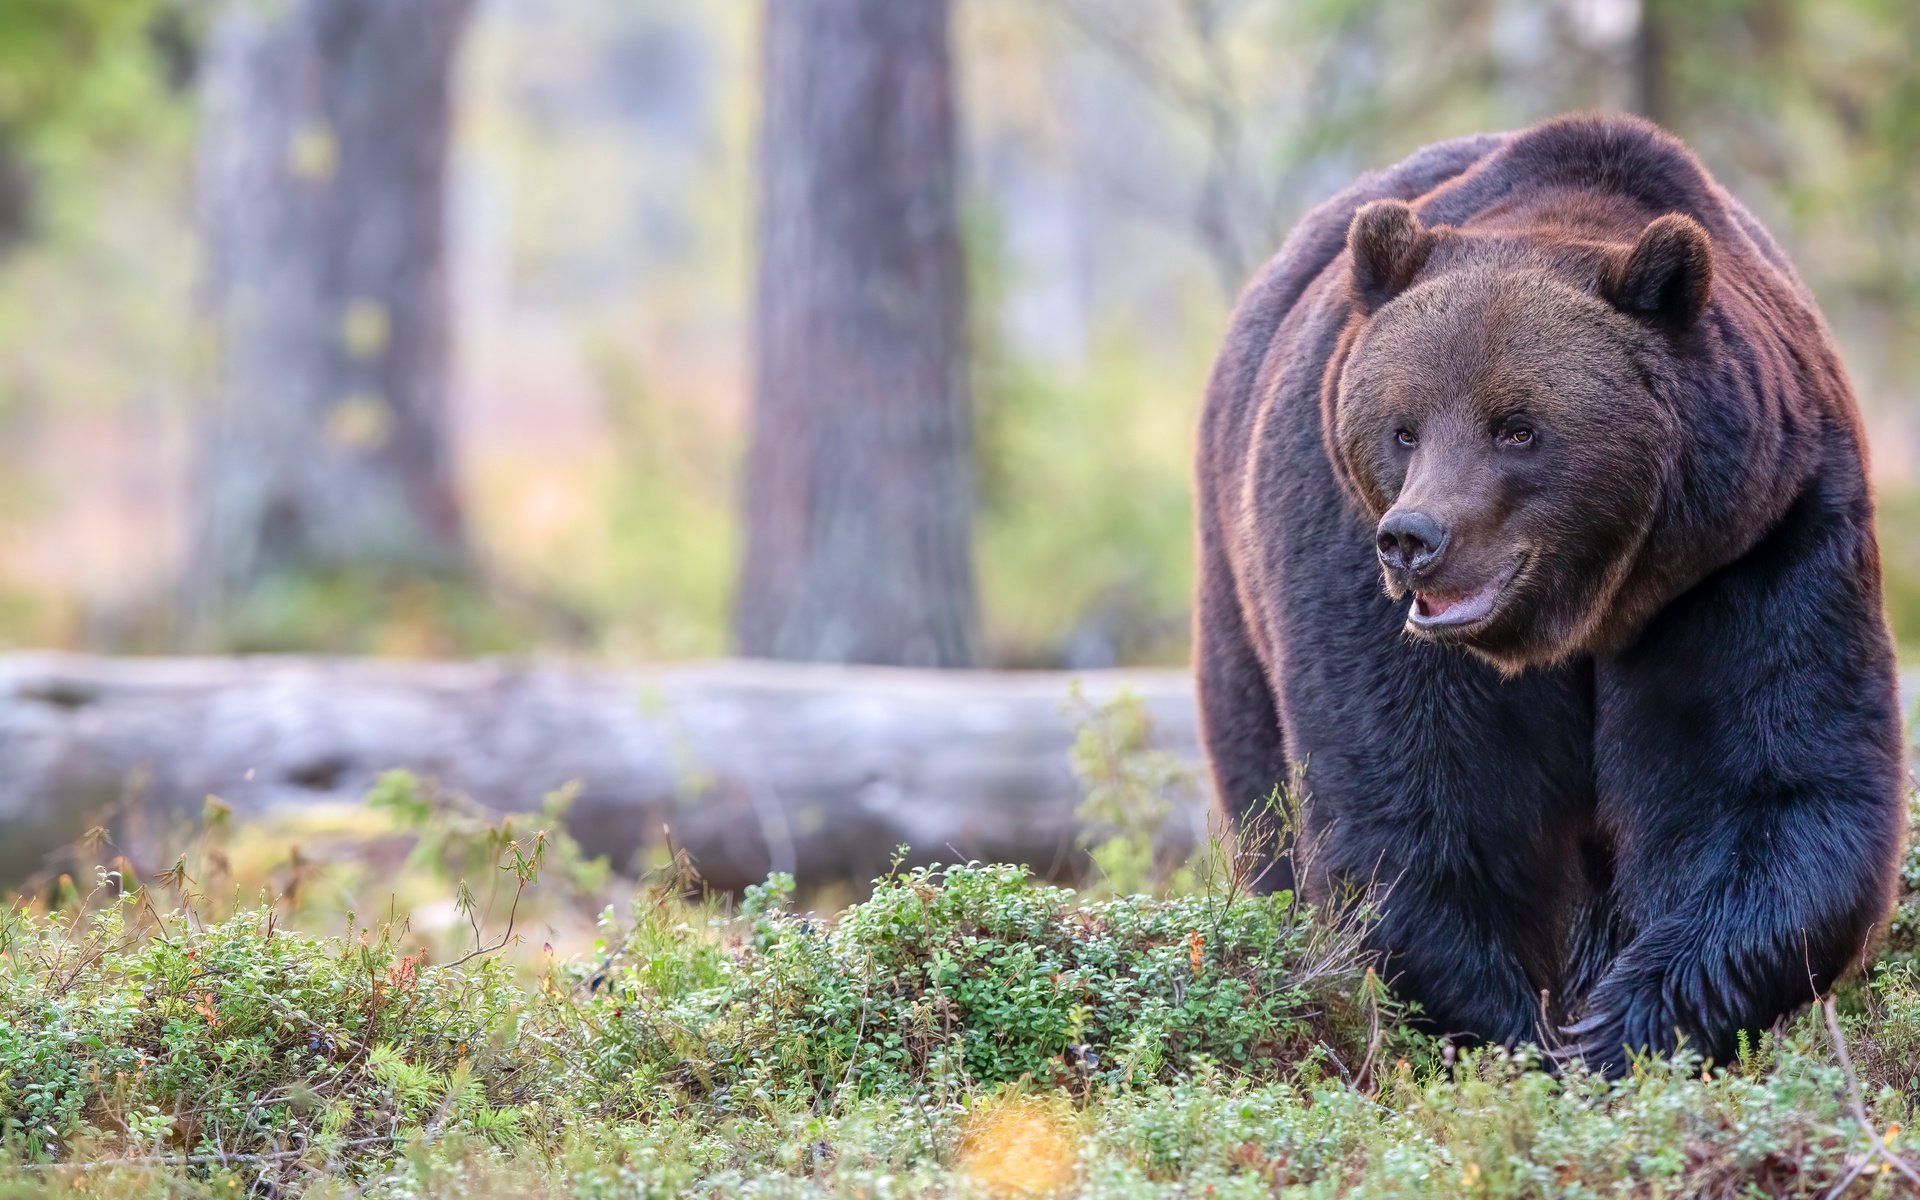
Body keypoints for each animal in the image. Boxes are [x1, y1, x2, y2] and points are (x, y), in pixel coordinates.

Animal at [1198, 112, 1904, 1067]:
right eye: (1403, 428)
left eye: (1518, 428)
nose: (1415, 540)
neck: (1589, 607)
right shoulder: (1346, 554)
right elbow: (1419, 809)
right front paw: (1517, 1033)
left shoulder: (1755, 547)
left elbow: (1773, 783)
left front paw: (1618, 1027)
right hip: (1237, 590)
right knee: (1265, 792)